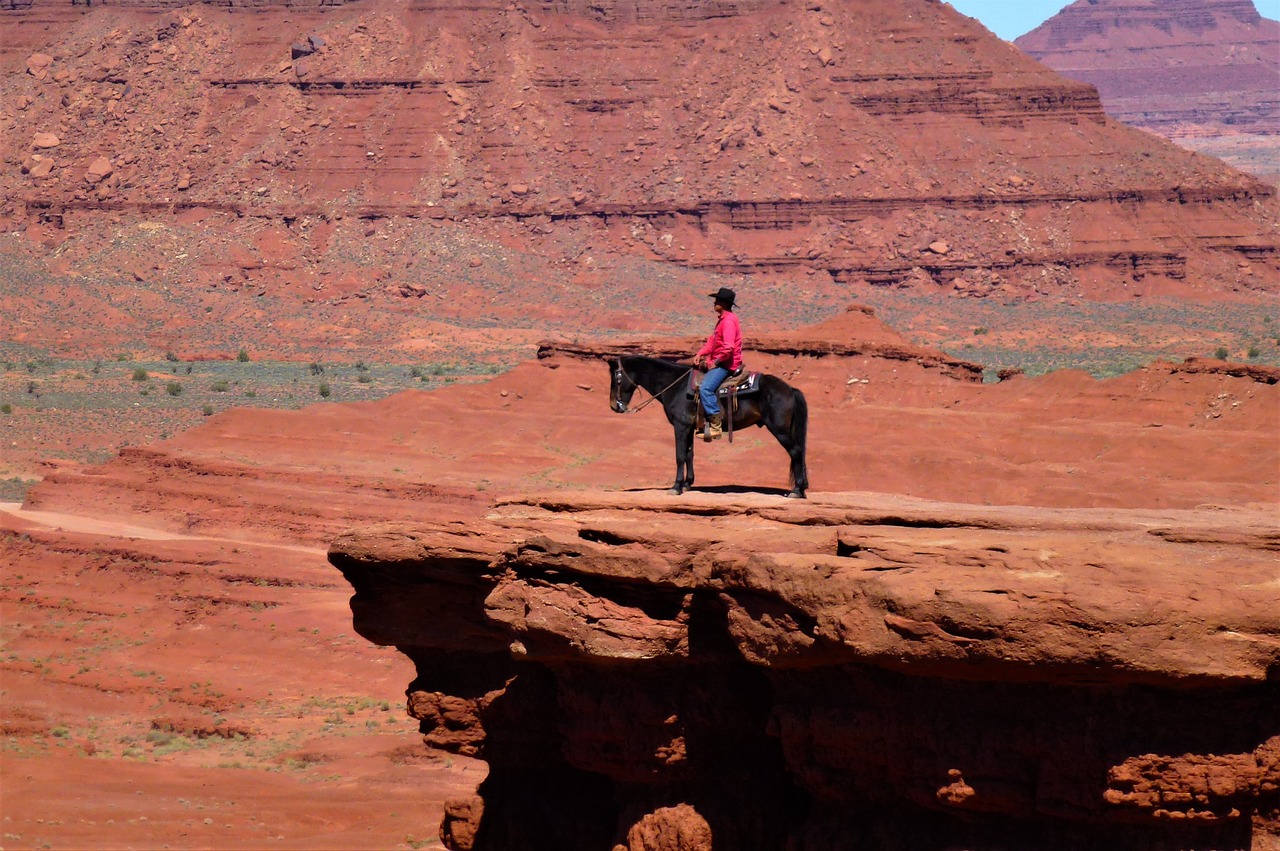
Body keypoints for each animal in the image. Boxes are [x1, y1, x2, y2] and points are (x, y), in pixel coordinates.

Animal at [604, 353, 803, 499]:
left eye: (616, 378)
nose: (614, 406)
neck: (676, 386)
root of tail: (790, 389)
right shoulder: (689, 427)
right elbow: (689, 454)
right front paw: (687, 484)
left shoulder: (680, 426)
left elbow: (679, 456)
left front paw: (676, 487)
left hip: (780, 430)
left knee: (796, 452)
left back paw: (797, 490)